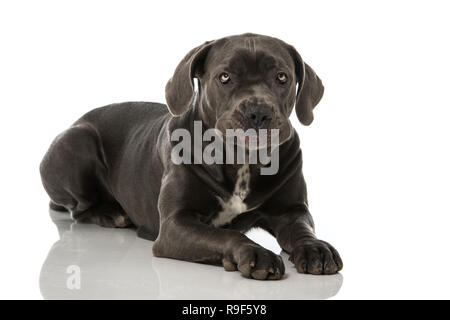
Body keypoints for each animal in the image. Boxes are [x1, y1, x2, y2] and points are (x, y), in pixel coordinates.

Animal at [41, 33, 344, 280]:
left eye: (282, 77)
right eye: (225, 77)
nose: (258, 112)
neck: (242, 160)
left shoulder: (291, 211)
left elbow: (303, 229)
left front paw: (316, 249)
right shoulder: (175, 224)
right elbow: (225, 233)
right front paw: (255, 253)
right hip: (77, 141)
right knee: (80, 208)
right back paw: (110, 213)